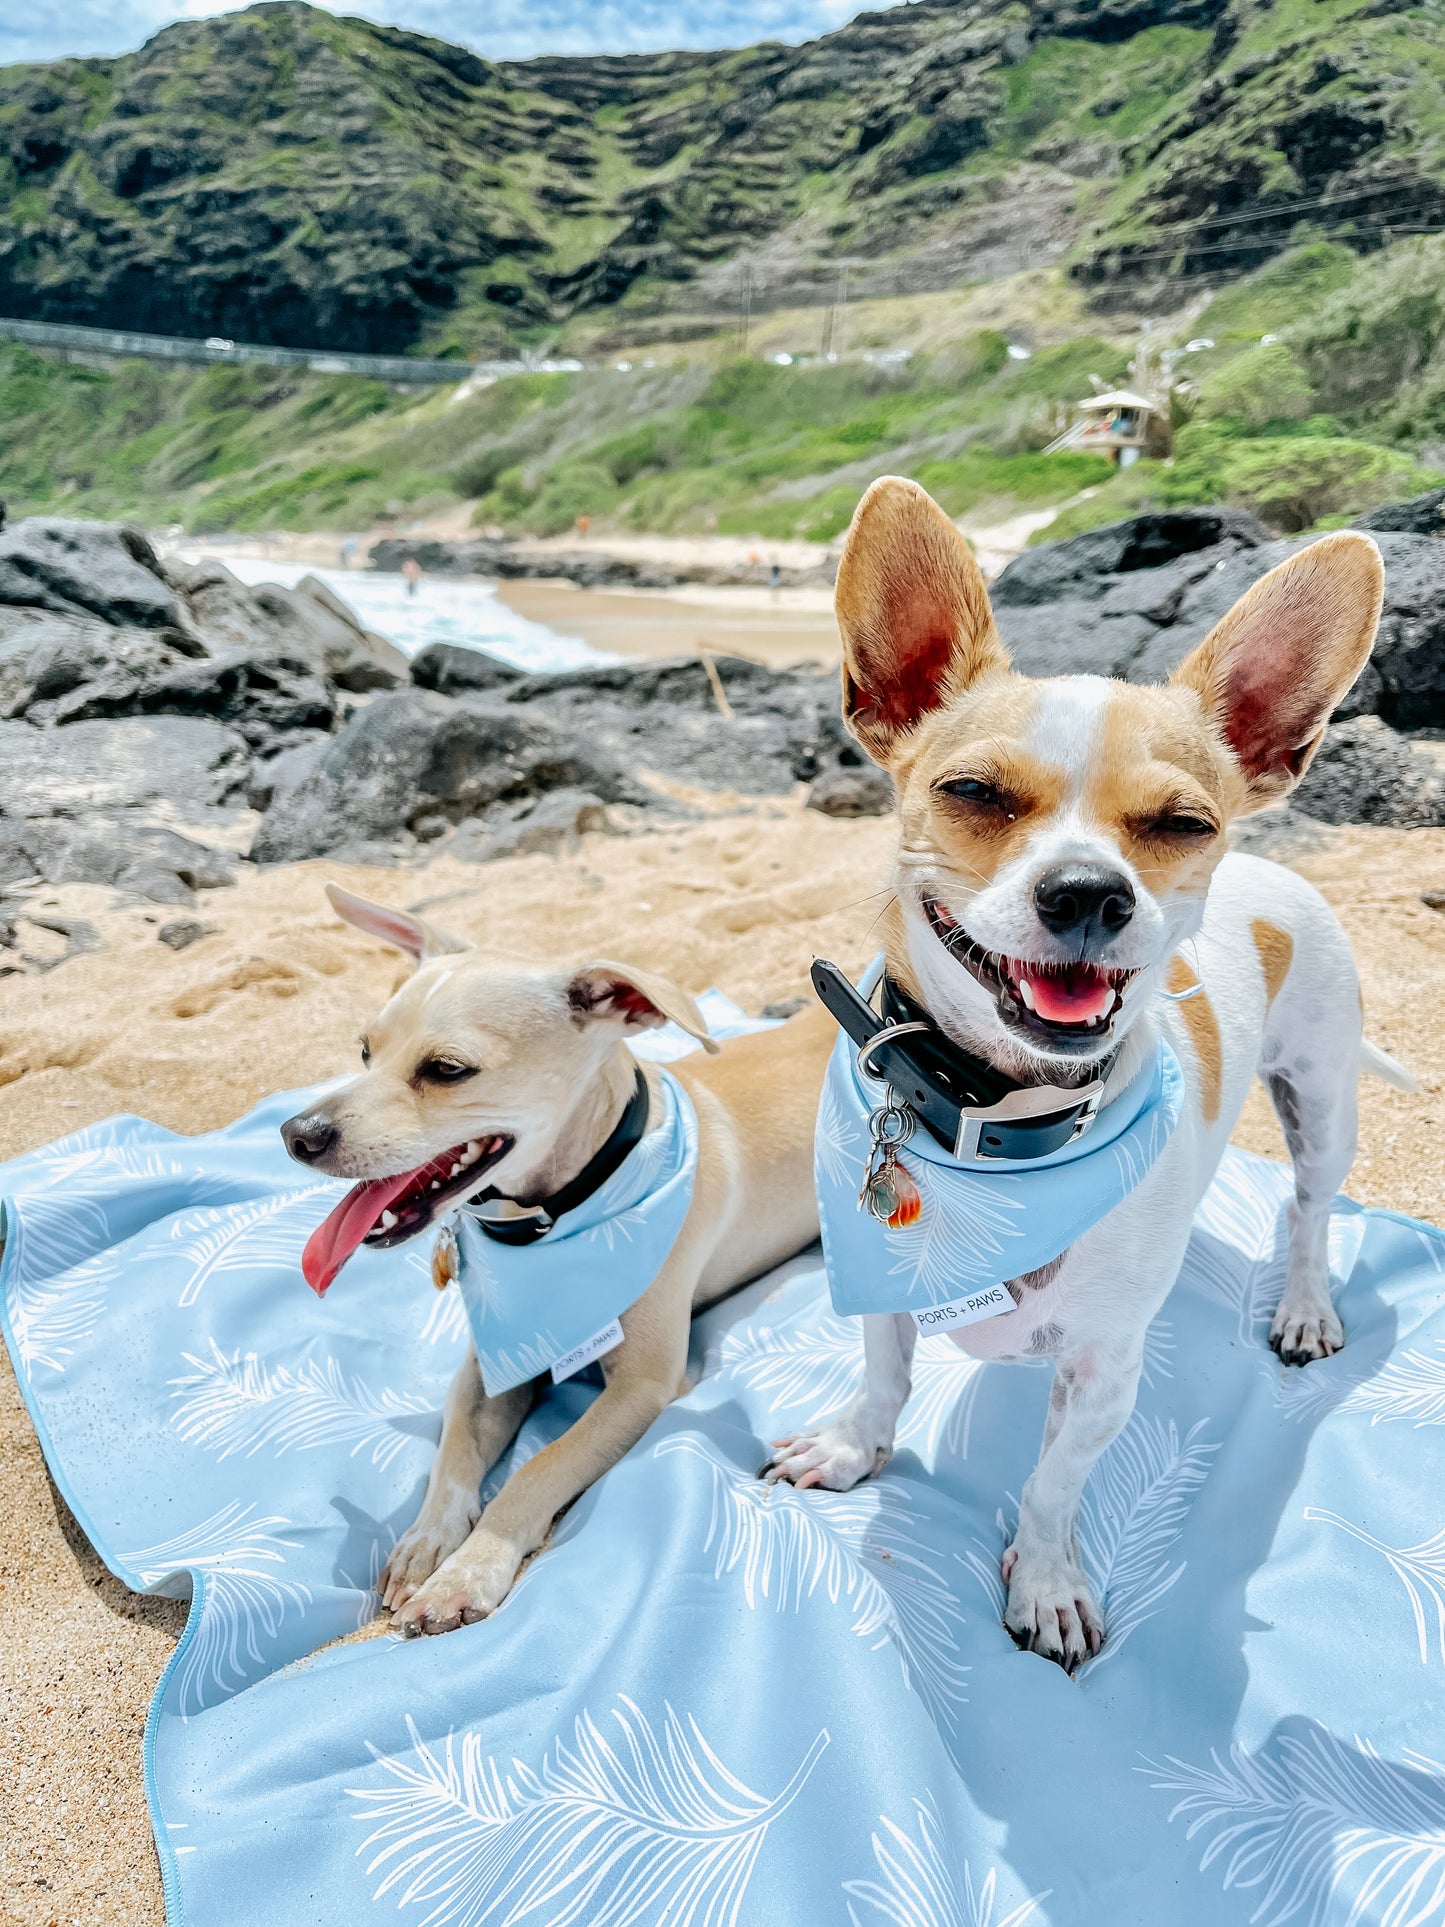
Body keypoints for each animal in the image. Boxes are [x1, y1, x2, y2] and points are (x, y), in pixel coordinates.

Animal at [281, 882, 832, 1626]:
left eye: (448, 1070)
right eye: (364, 1051)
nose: (296, 1133)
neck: (553, 1217)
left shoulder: (643, 1385)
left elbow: (537, 1471)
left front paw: (468, 1571)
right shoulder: (491, 1362)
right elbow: (452, 1454)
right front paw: (428, 1542)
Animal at [762, 477, 1418, 1672]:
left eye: (1180, 822)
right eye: (973, 792)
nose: (1086, 892)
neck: (998, 1117)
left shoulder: (1105, 1374)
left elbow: (1053, 1482)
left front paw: (1047, 1581)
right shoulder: (882, 1293)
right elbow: (884, 1373)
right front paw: (852, 1446)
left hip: (1321, 1100)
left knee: (1308, 1212)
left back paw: (1304, 1306)